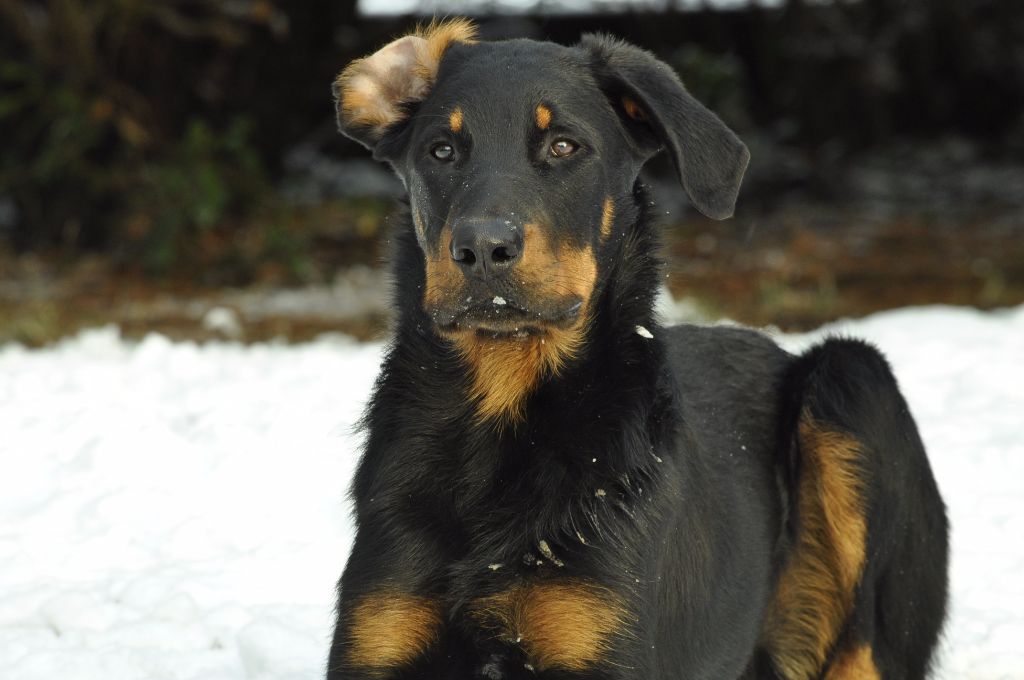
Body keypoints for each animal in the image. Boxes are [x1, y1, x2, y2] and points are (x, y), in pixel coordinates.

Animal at [323, 18, 946, 675]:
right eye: (440, 151)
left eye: (564, 147)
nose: (482, 249)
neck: (498, 411)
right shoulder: (380, 629)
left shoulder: (599, 640)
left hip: (852, 381)